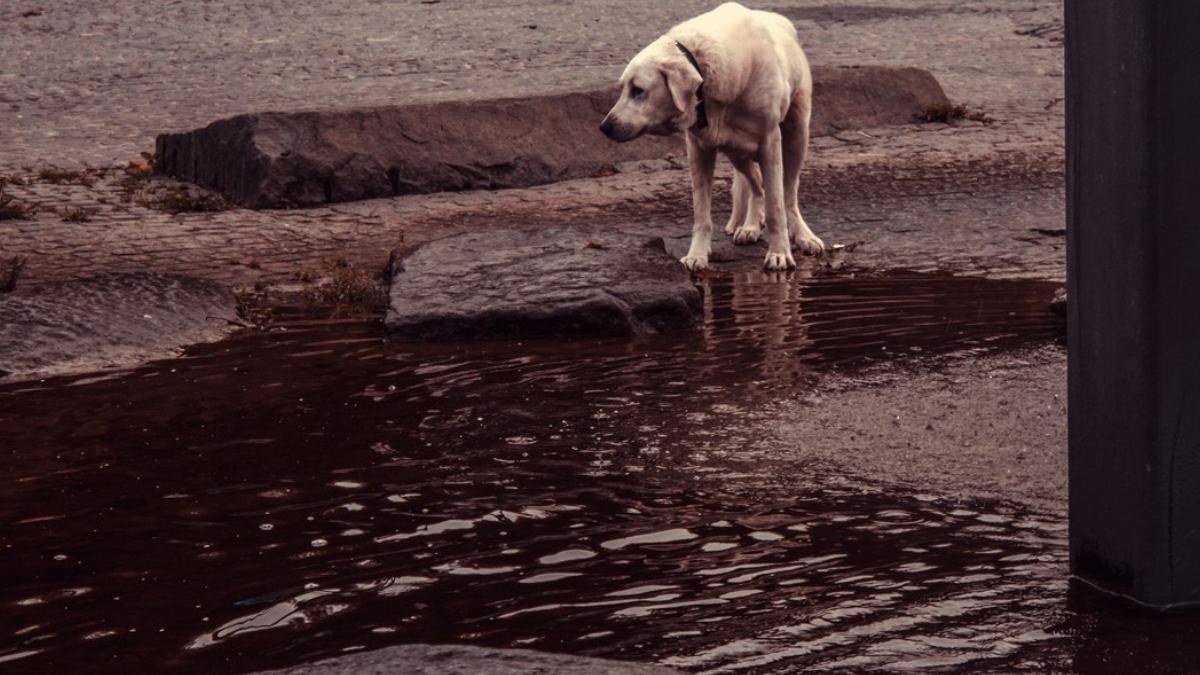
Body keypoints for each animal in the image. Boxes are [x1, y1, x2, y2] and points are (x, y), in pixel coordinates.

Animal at [600, 3, 825, 270]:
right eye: (624, 89)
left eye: (637, 90)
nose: (604, 127)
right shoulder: (699, 148)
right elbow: (701, 213)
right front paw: (697, 255)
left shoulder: (770, 141)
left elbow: (776, 207)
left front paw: (779, 252)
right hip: (736, 149)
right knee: (757, 183)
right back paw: (750, 225)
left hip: (796, 136)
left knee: (788, 194)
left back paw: (803, 235)